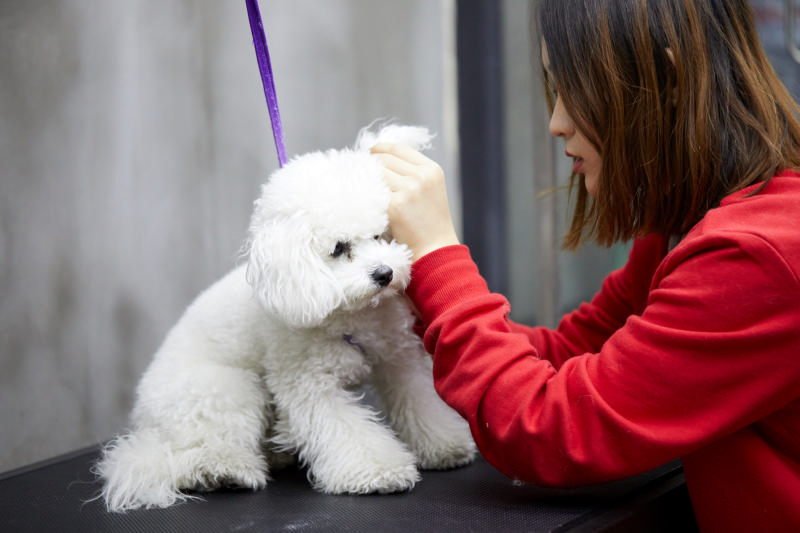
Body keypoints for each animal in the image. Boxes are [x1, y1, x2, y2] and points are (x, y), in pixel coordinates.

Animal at [97, 123, 478, 512]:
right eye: (339, 248)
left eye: (380, 234)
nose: (384, 274)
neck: (354, 313)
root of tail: (146, 425)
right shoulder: (309, 383)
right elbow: (346, 430)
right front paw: (377, 471)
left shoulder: (398, 360)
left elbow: (418, 401)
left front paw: (444, 445)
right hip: (222, 391)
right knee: (201, 451)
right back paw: (228, 471)